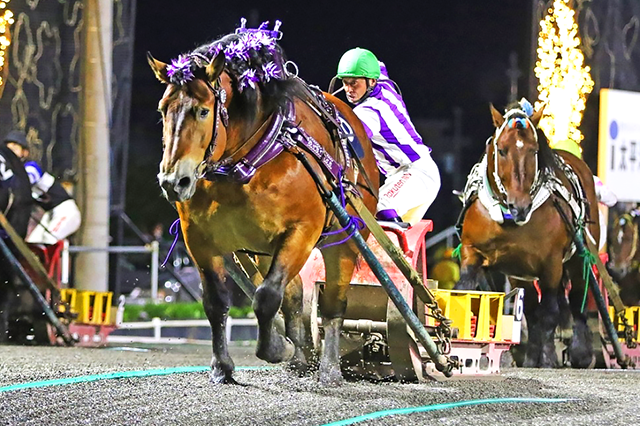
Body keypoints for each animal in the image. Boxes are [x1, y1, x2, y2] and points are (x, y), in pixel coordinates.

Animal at [148, 29, 378, 382]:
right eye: (163, 110)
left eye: (203, 110)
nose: (174, 181)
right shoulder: (198, 237)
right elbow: (217, 302)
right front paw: (222, 365)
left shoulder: (302, 231)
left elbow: (267, 296)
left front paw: (276, 348)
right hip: (261, 248)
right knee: (294, 295)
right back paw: (302, 357)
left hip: (347, 240)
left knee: (333, 303)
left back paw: (329, 367)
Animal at [456, 103, 600, 370]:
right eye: (502, 150)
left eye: (534, 150)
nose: (520, 206)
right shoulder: (473, 251)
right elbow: (465, 293)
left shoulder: (551, 263)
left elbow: (550, 312)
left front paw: (549, 359)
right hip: (519, 272)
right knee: (532, 310)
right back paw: (532, 356)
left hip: (576, 256)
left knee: (577, 298)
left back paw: (578, 353)